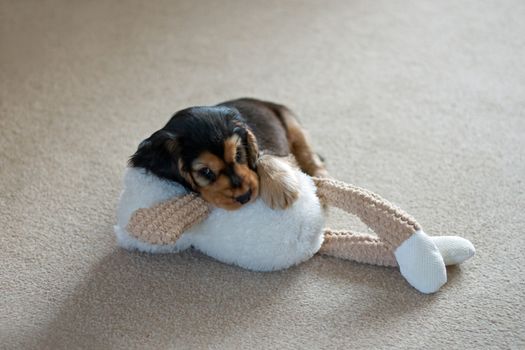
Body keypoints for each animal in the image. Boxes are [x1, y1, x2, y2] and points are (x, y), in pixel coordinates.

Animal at [129, 97, 326, 209]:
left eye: (238, 154)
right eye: (205, 171)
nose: (245, 197)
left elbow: (264, 156)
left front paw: (280, 188)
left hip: (292, 125)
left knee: (310, 156)